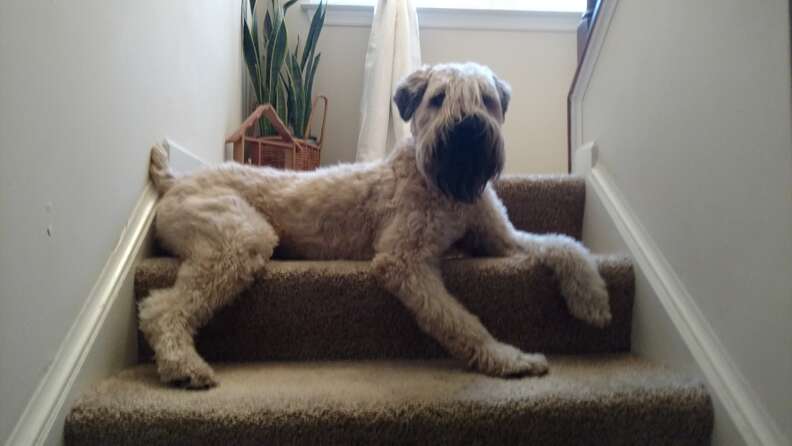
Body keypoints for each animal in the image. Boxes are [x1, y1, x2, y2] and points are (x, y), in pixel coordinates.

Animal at [141, 61, 612, 388]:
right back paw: (183, 366)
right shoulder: (404, 260)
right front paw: (506, 357)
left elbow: (564, 243)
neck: (444, 188)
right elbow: (460, 320)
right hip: (241, 238)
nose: (467, 130)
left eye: (486, 98)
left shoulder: (503, 240)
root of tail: (175, 181)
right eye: (438, 98)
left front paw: (592, 299)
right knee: (160, 308)